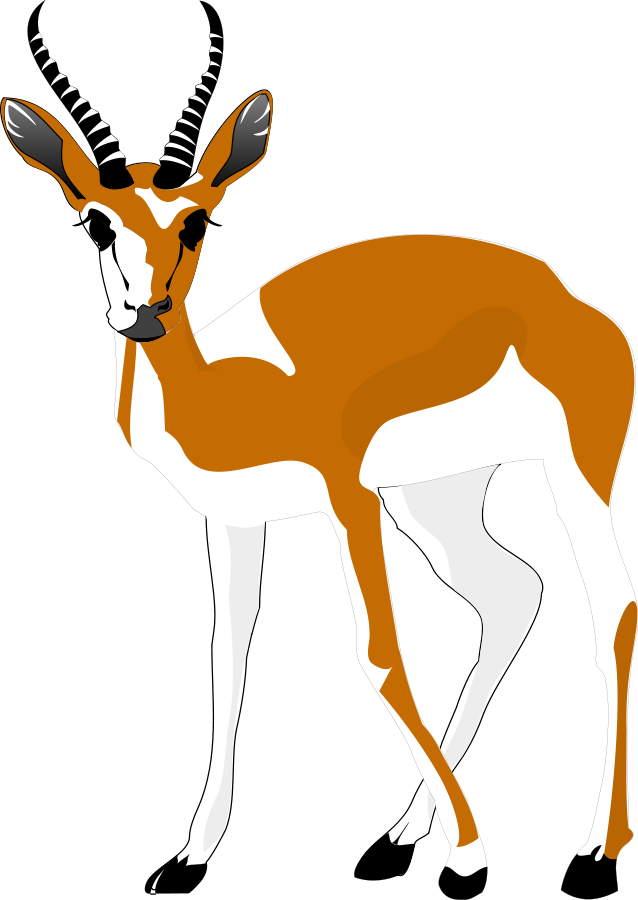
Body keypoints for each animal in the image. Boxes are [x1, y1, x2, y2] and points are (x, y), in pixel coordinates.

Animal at [3, 31, 635, 900]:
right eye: (97, 223)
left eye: (196, 221)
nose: (145, 313)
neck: (227, 393)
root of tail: (572, 300)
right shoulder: (232, 519)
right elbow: (226, 654)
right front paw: (192, 854)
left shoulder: (346, 499)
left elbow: (380, 654)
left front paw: (472, 858)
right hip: (435, 499)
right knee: (514, 593)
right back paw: (409, 829)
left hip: (573, 472)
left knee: (613, 611)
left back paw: (596, 853)